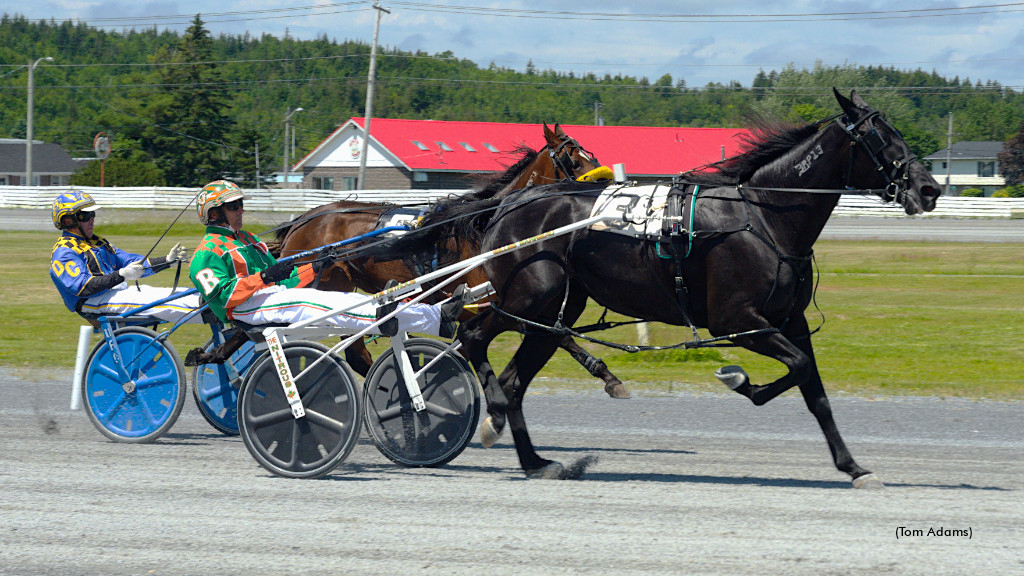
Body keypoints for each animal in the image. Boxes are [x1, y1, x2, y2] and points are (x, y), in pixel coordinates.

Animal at [272, 121, 630, 393]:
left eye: (590, 153)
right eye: (573, 160)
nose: (608, 186)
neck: (486, 225)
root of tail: (302, 221)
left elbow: (554, 333)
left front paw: (606, 374)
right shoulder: (493, 303)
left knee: (355, 351)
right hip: (324, 286)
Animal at [387, 89, 937, 483]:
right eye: (881, 137)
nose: (928, 188)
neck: (762, 215)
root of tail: (507, 204)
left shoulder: (790, 321)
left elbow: (814, 388)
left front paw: (853, 466)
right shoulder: (740, 321)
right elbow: (796, 370)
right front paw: (740, 380)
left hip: (553, 314)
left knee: (514, 379)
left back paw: (537, 461)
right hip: (530, 298)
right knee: (473, 337)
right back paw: (492, 416)